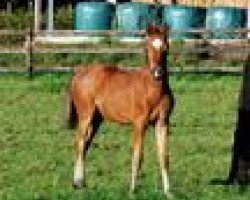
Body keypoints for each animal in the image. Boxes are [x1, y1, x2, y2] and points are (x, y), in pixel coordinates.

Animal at [67, 24, 175, 196]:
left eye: (165, 47)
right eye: (147, 47)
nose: (157, 72)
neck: (154, 89)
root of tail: (80, 73)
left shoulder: (163, 123)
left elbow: (164, 157)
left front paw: (168, 192)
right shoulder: (139, 124)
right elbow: (138, 156)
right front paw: (132, 190)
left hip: (97, 119)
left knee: (85, 144)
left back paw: (81, 183)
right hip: (85, 115)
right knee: (79, 143)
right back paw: (77, 183)